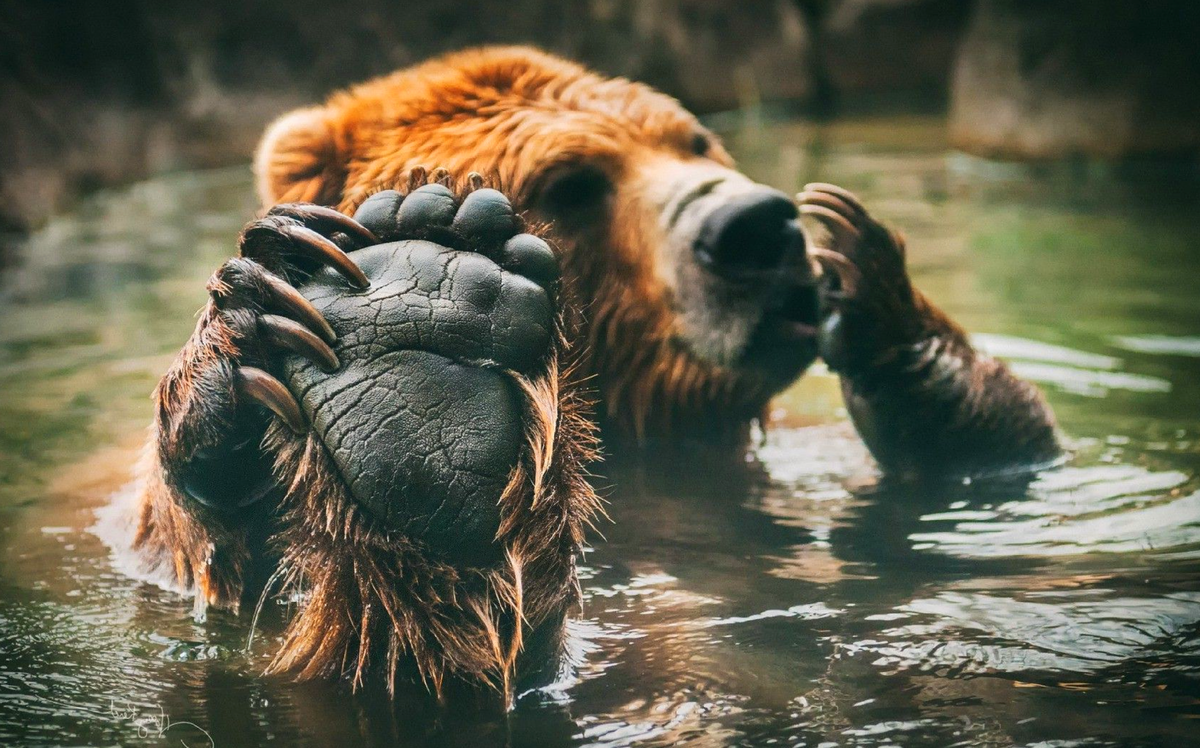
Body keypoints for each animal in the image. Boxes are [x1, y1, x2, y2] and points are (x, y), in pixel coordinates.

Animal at [126, 48, 1056, 696]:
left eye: (694, 138)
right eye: (573, 182)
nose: (757, 225)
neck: (646, 431)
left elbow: (1008, 461)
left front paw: (865, 275)